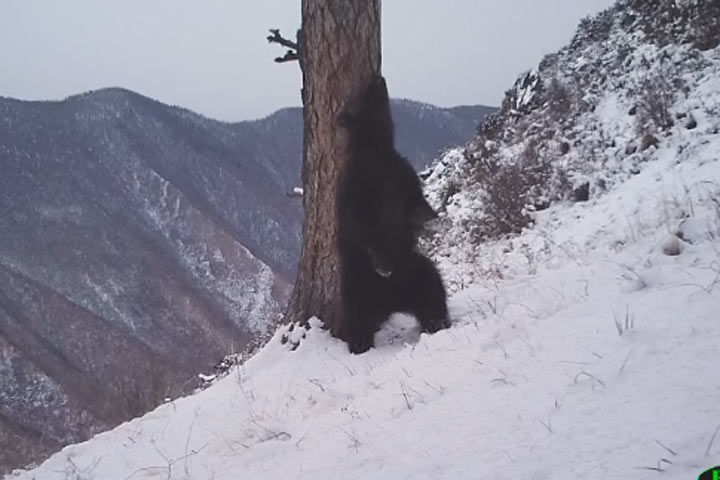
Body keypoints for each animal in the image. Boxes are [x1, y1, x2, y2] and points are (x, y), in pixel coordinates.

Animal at [334, 75, 448, 352]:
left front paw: (427, 216)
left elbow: (415, 200)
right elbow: (360, 221)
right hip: (357, 286)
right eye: (365, 97)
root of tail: (391, 303)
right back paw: (360, 343)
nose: (378, 78)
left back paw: (437, 323)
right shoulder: (357, 182)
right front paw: (381, 259)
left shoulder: (401, 173)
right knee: (356, 317)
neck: (377, 150)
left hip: (416, 272)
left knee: (433, 291)